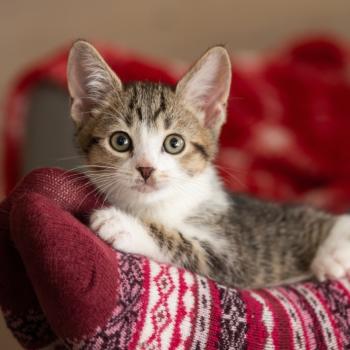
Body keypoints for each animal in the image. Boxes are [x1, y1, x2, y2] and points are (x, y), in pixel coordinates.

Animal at [67, 40, 350, 288]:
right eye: (120, 141)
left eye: (174, 143)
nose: (146, 169)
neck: (153, 208)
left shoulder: (235, 256)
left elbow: (187, 245)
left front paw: (122, 224)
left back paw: (331, 258)